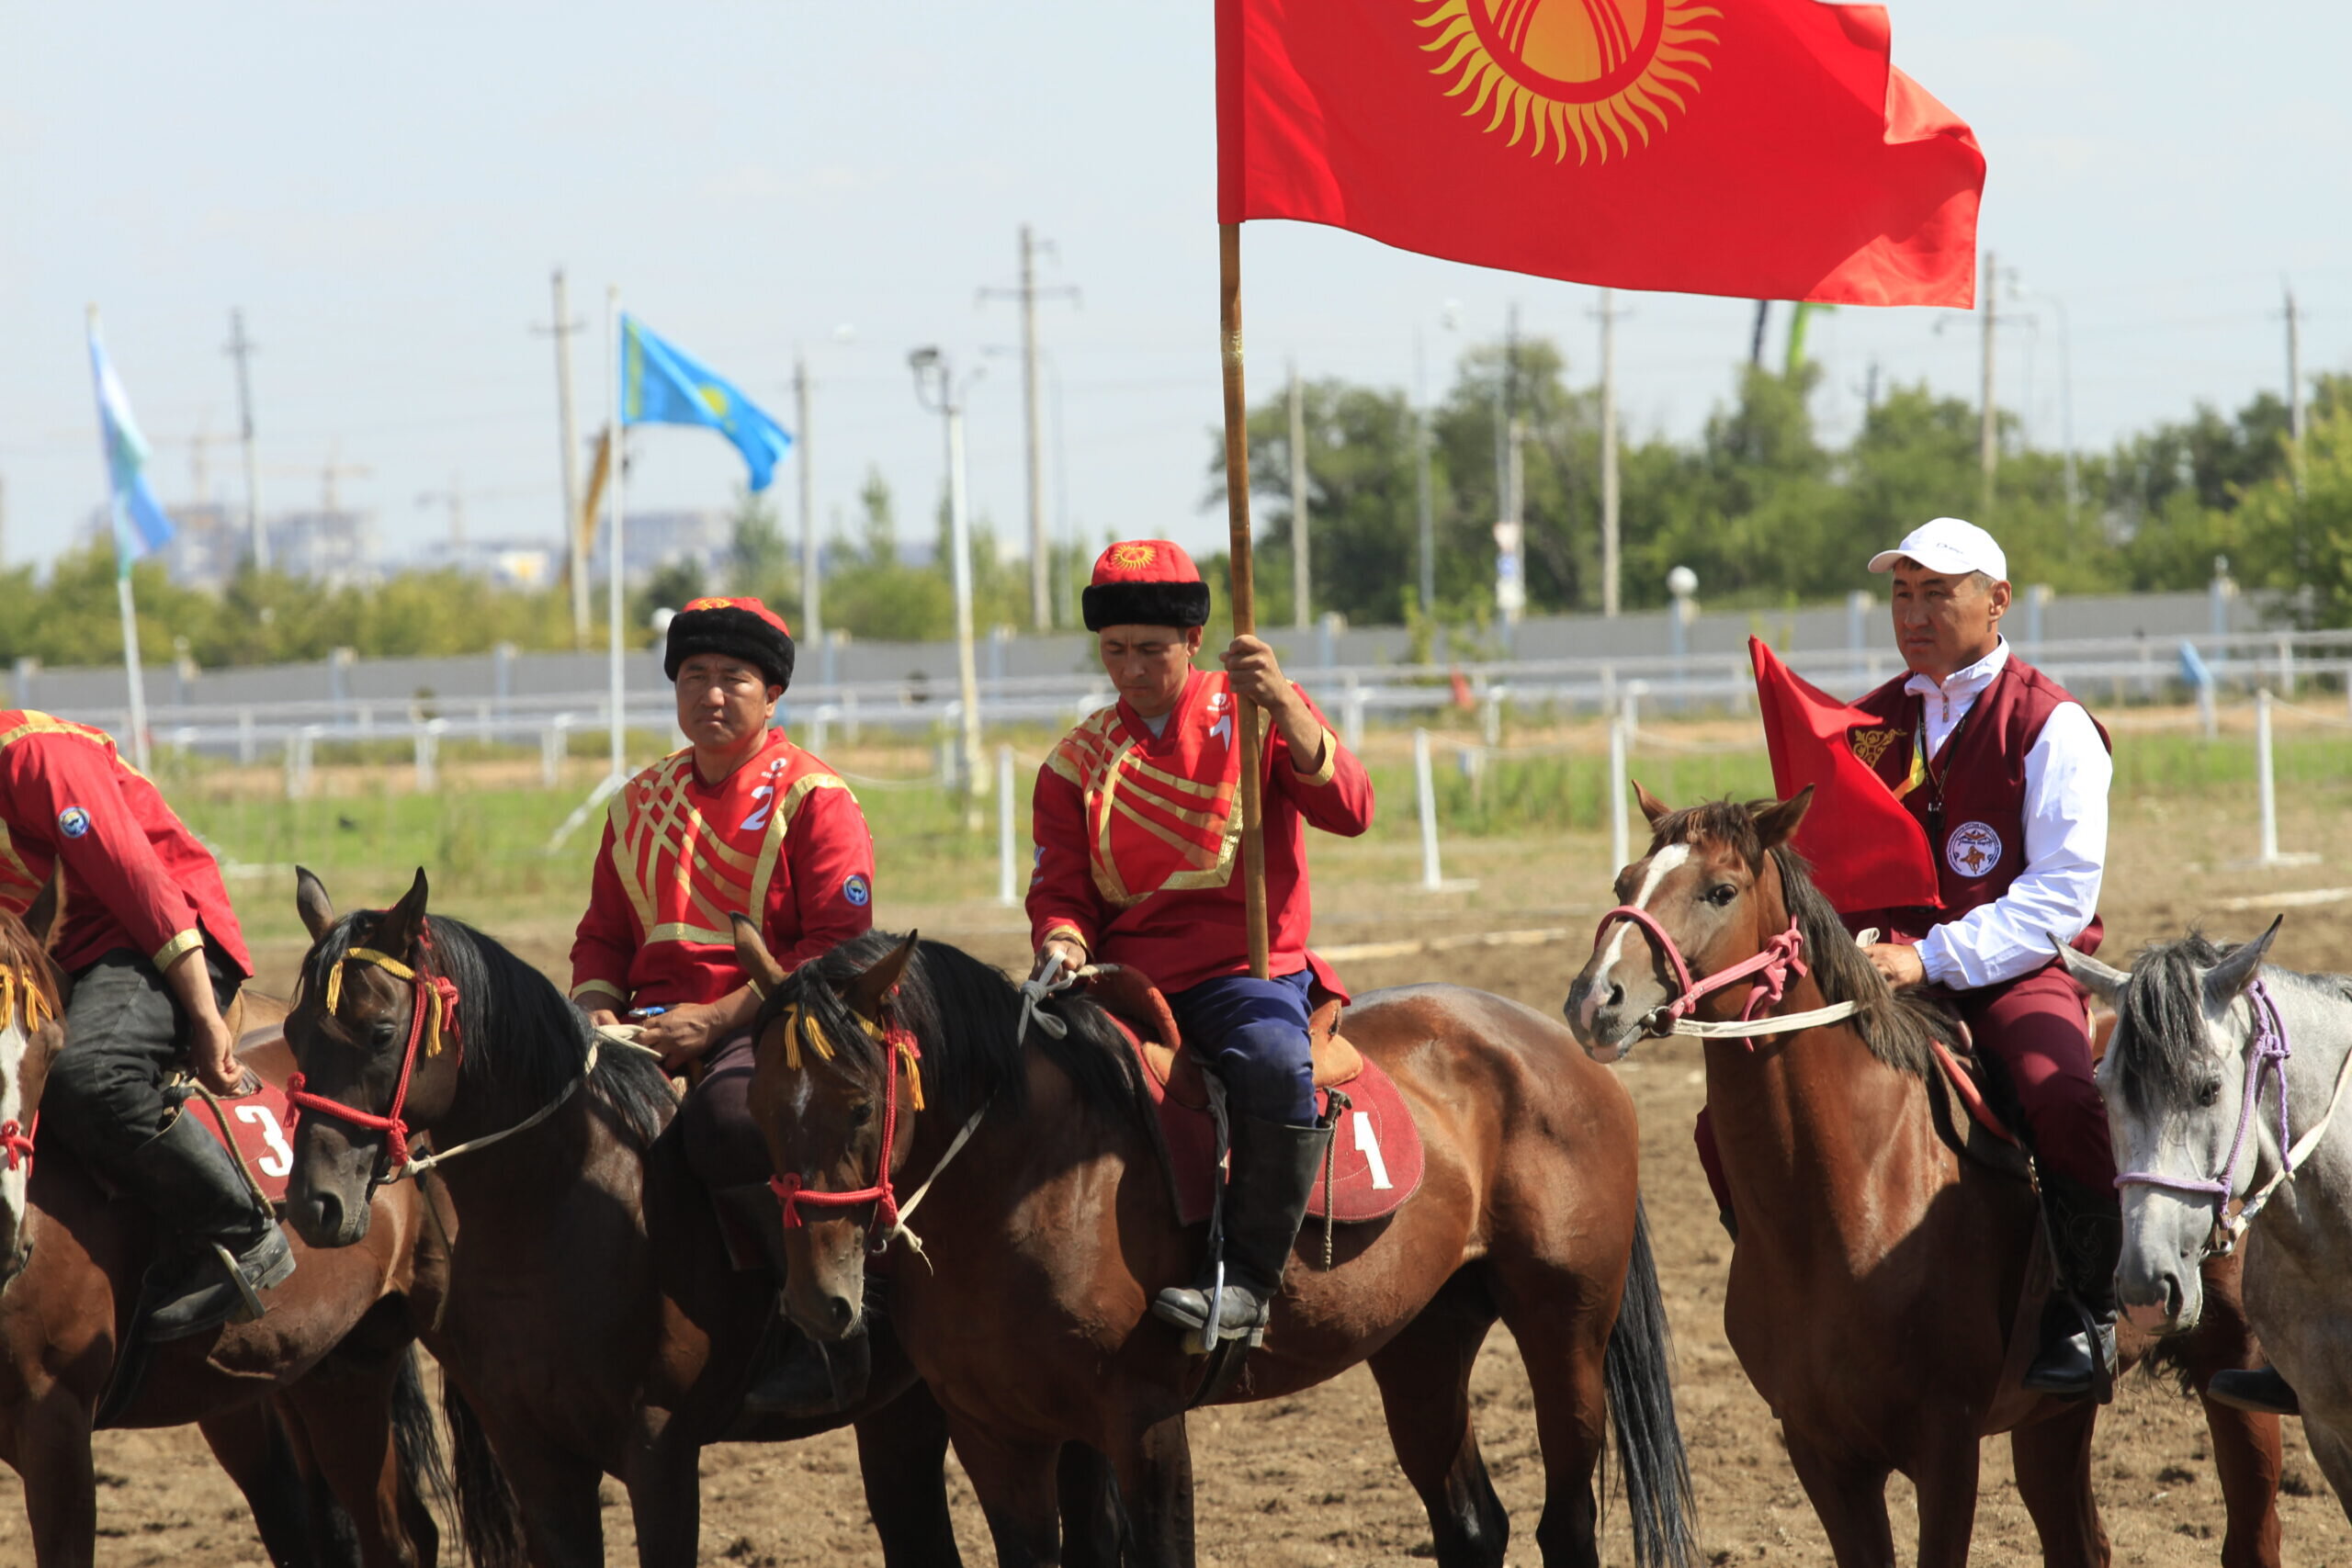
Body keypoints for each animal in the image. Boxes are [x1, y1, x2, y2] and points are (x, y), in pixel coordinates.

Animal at [269, 869, 1091, 1568]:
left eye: (380, 1032)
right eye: (294, 1030)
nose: (315, 1201)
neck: (554, 1215)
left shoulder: (660, 1449)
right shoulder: (536, 1456)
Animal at [729, 921, 1693, 1568]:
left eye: (860, 1105)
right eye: (760, 1106)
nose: (819, 1302)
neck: (1030, 1180)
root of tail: (1550, 1042)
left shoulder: (1144, 1423)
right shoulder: (996, 1435)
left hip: (1565, 1332)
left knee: (1565, 1522)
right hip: (1422, 1339)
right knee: (1471, 1525)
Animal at [1561, 799, 2277, 1568]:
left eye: (1720, 890)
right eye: (1624, 880)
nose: (1594, 998)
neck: (1848, 1196)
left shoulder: (1947, 1446)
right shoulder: (1822, 1453)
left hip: (2231, 1360)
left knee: (2253, 1534)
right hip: (2055, 1415)